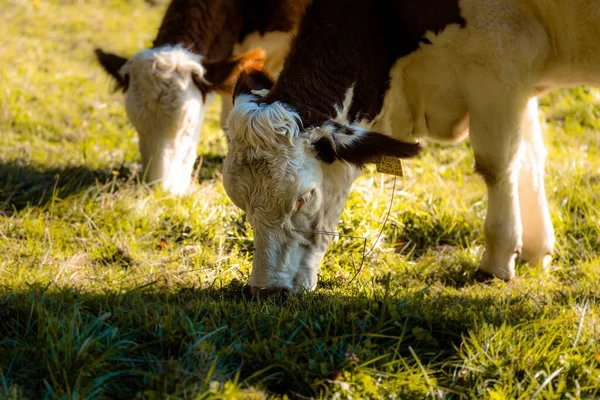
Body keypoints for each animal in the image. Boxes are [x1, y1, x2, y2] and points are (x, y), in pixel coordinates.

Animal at [221, 0, 600, 296]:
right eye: (240, 202)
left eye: (304, 197)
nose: (267, 291)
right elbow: (530, 158)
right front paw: (536, 249)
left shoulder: (498, 59)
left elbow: (497, 166)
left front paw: (497, 260)